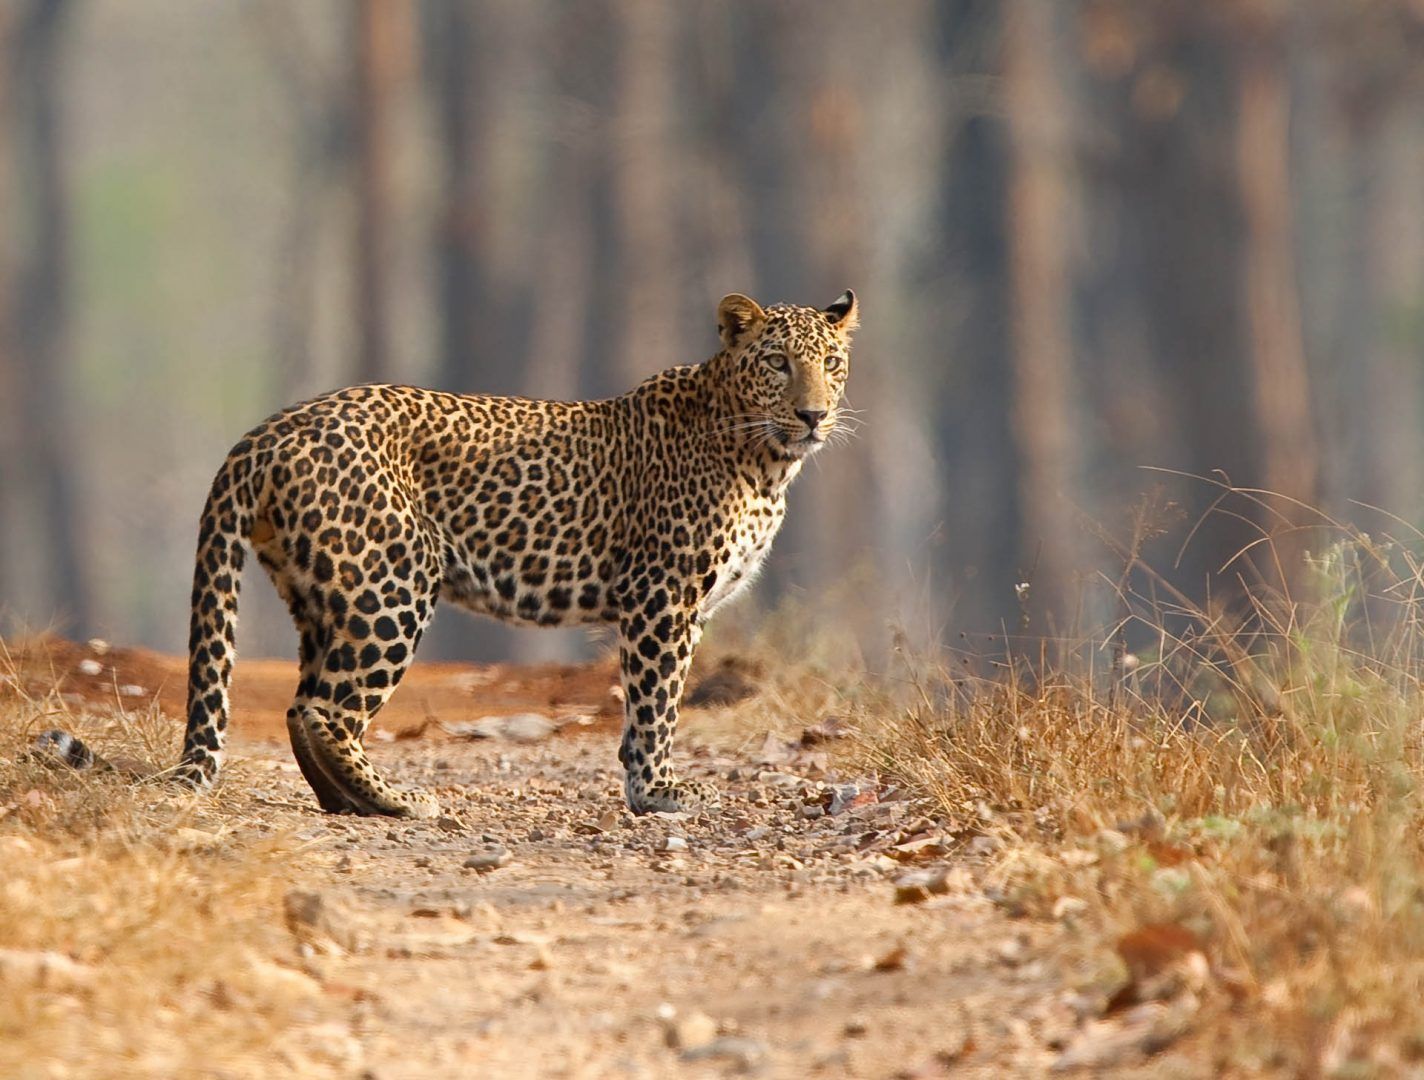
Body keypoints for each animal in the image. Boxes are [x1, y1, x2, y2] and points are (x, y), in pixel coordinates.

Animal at [45, 289, 858, 818]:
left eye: (832, 363)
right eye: (778, 363)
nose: (813, 414)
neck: (764, 459)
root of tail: (265, 433)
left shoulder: (676, 606)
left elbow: (643, 708)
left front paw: (642, 789)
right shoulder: (663, 599)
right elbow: (656, 703)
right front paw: (658, 792)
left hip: (322, 594)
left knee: (302, 707)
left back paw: (353, 804)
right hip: (392, 585)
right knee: (325, 710)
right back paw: (399, 802)